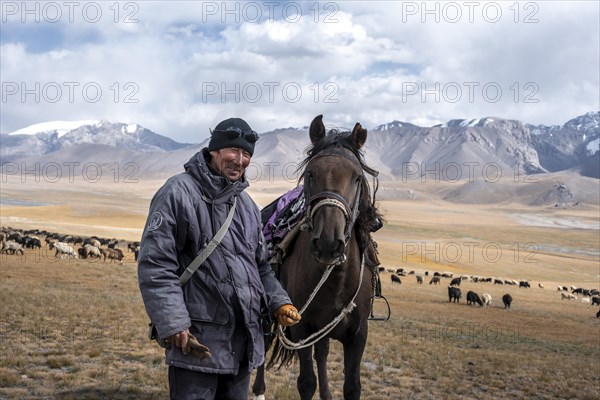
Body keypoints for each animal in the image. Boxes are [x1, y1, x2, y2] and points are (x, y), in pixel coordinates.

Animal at [255, 114, 382, 400]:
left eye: (357, 178)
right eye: (311, 173)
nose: (328, 243)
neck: (335, 281)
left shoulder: (358, 335)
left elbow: (352, 386)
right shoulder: (301, 327)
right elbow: (306, 382)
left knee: (322, 355)